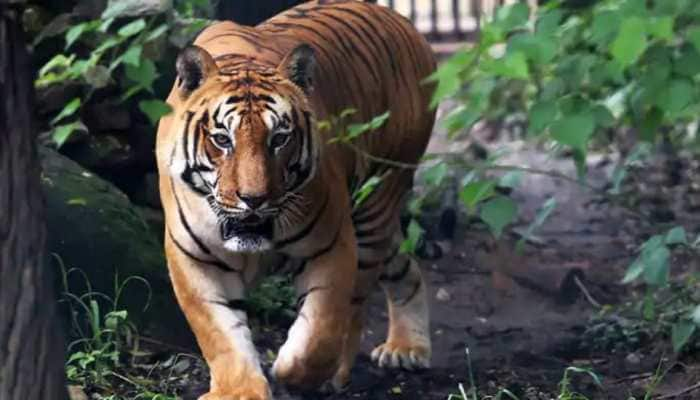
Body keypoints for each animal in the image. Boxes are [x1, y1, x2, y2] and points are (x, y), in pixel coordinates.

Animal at [156, 1, 434, 398]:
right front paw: (239, 390)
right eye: (223, 140)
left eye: (279, 138)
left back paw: (348, 369)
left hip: (376, 202)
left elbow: (320, 331)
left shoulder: (331, 246)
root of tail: (402, 21)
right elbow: (219, 335)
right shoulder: (195, 259)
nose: (253, 199)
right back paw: (408, 347)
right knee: (404, 264)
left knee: (355, 305)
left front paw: (294, 374)